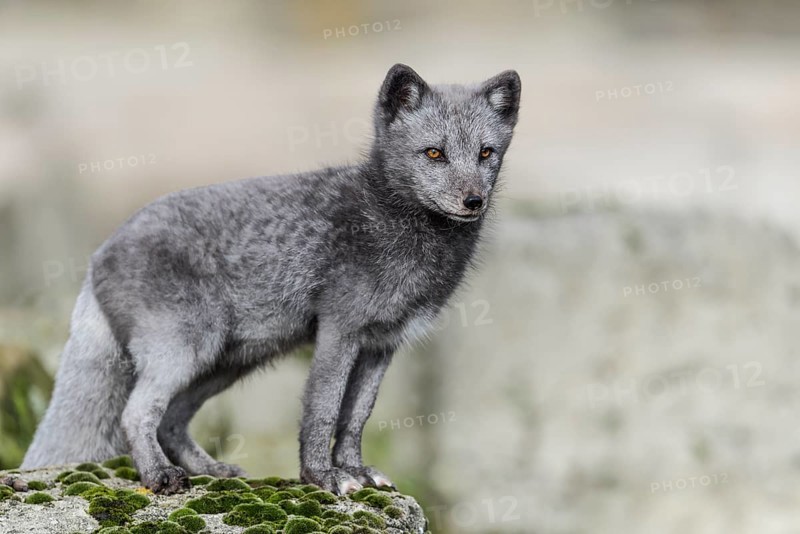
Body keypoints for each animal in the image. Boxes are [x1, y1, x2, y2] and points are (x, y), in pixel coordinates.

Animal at [22, 64, 521, 495]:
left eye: (486, 153)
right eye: (434, 153)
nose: (473, 201)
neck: (390, 224)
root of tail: (97, 254)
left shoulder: (383, 344)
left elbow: (356, 417)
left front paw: (355, 471)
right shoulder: (339, 332)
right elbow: (323, 411)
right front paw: (323, 478)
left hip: (226, 362)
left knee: (171, 420)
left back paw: (212, 472)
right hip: (186, 351)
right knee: (137, 414)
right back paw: (161, 478)